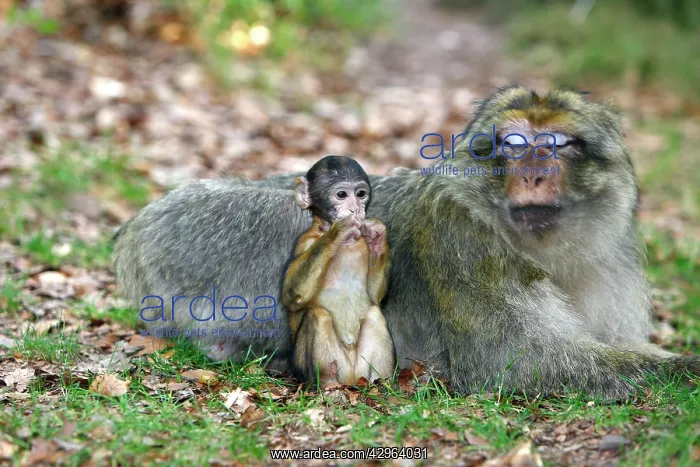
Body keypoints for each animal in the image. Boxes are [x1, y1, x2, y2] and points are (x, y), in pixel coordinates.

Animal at [282, 156, 394, 386]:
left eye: (360, 194)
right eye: (341, 195)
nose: (355, 209)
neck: (348, 244)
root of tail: (351, 380)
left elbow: (375, 298)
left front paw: (376, 233)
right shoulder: (305, 243)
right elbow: (291, 296)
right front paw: (338, 231)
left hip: (361, 367)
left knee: (374, 314)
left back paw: (382, 385)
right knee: (316, 315)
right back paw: (329, 386)